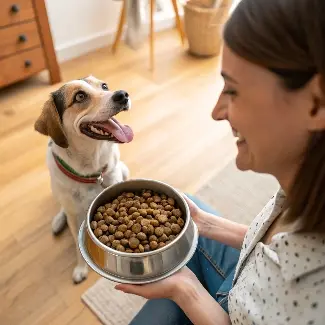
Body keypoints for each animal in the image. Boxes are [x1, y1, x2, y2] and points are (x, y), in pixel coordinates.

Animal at [34, 74, 133, 282]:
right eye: (79, 96)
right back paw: (58, 220)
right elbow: (78, 246)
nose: (122, 94)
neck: (92, 172)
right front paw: (81, 268)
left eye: (104, 86)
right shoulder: (75, 216)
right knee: (63, 208)